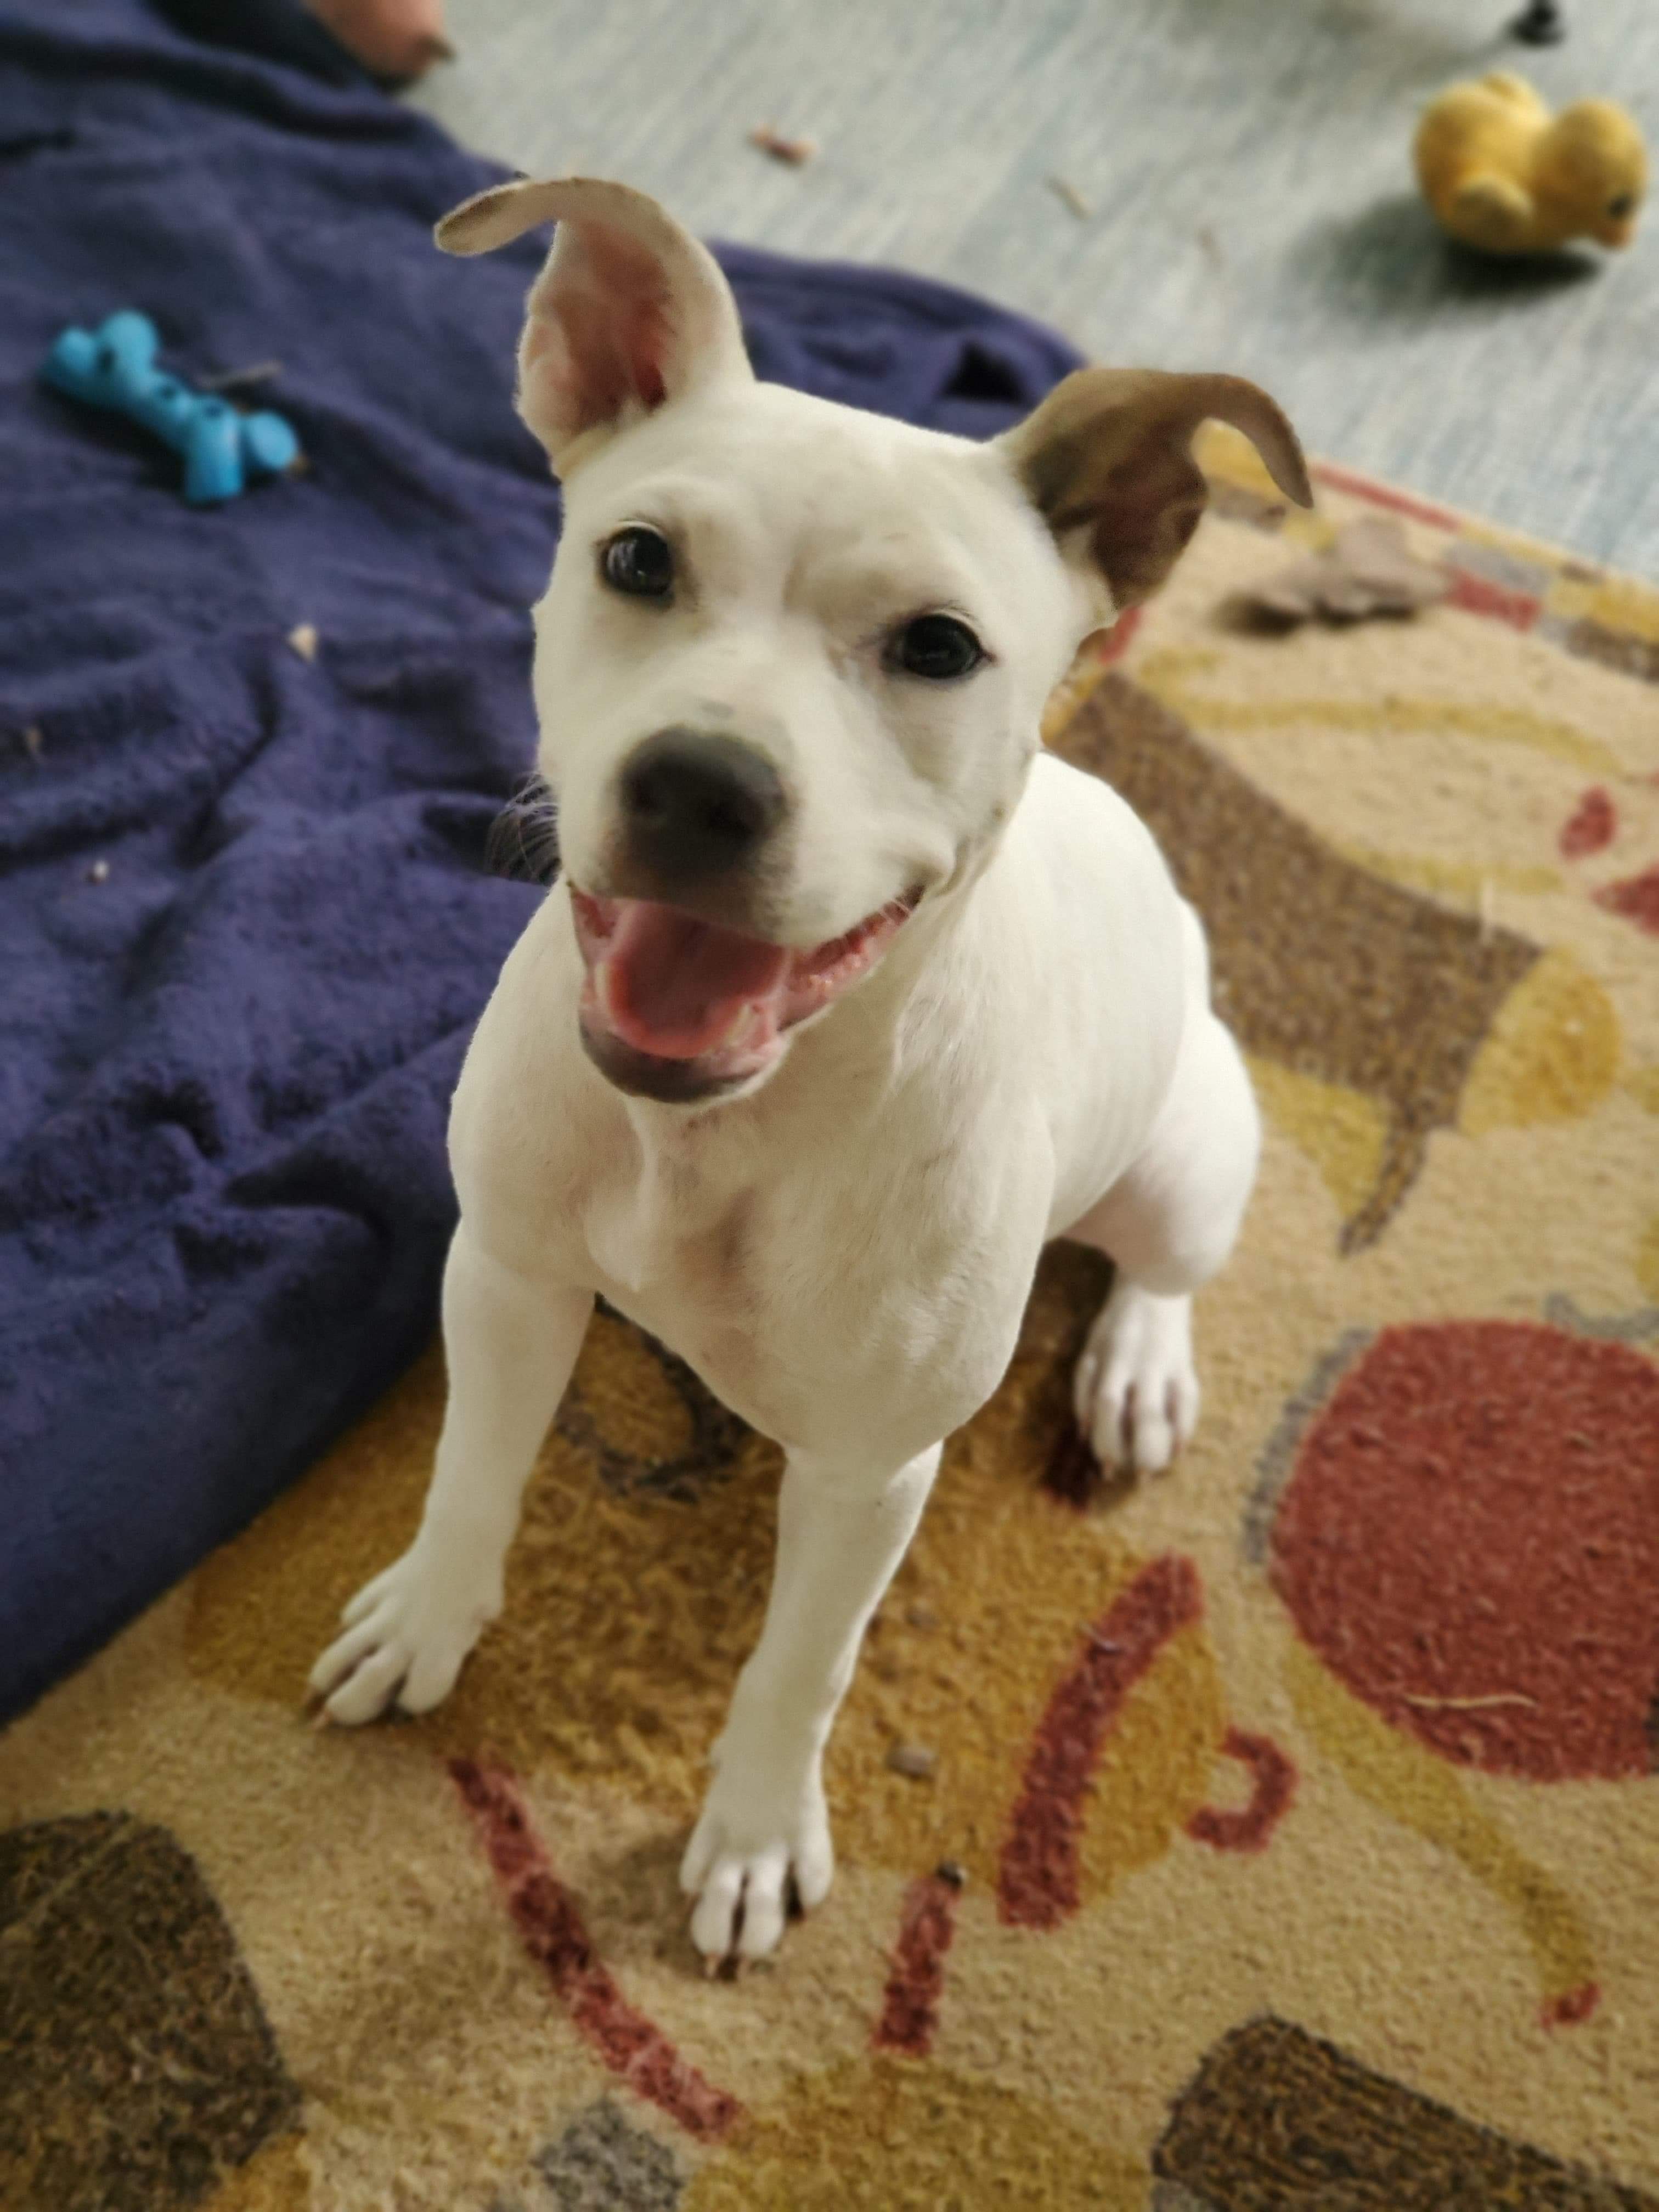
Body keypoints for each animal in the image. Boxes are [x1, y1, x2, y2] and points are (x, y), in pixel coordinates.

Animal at [312, 181, 1309, 1964]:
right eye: (637, 559)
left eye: (941, 647)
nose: (701, 785)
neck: (721, 1133)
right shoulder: (503, 1278)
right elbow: (473, 1473)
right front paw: (428, 1615)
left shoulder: (866, 1475)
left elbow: (803, 1664)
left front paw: (755, 1836)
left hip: (1187, 1156)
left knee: (1161, 1268)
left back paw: (1133, 1366)